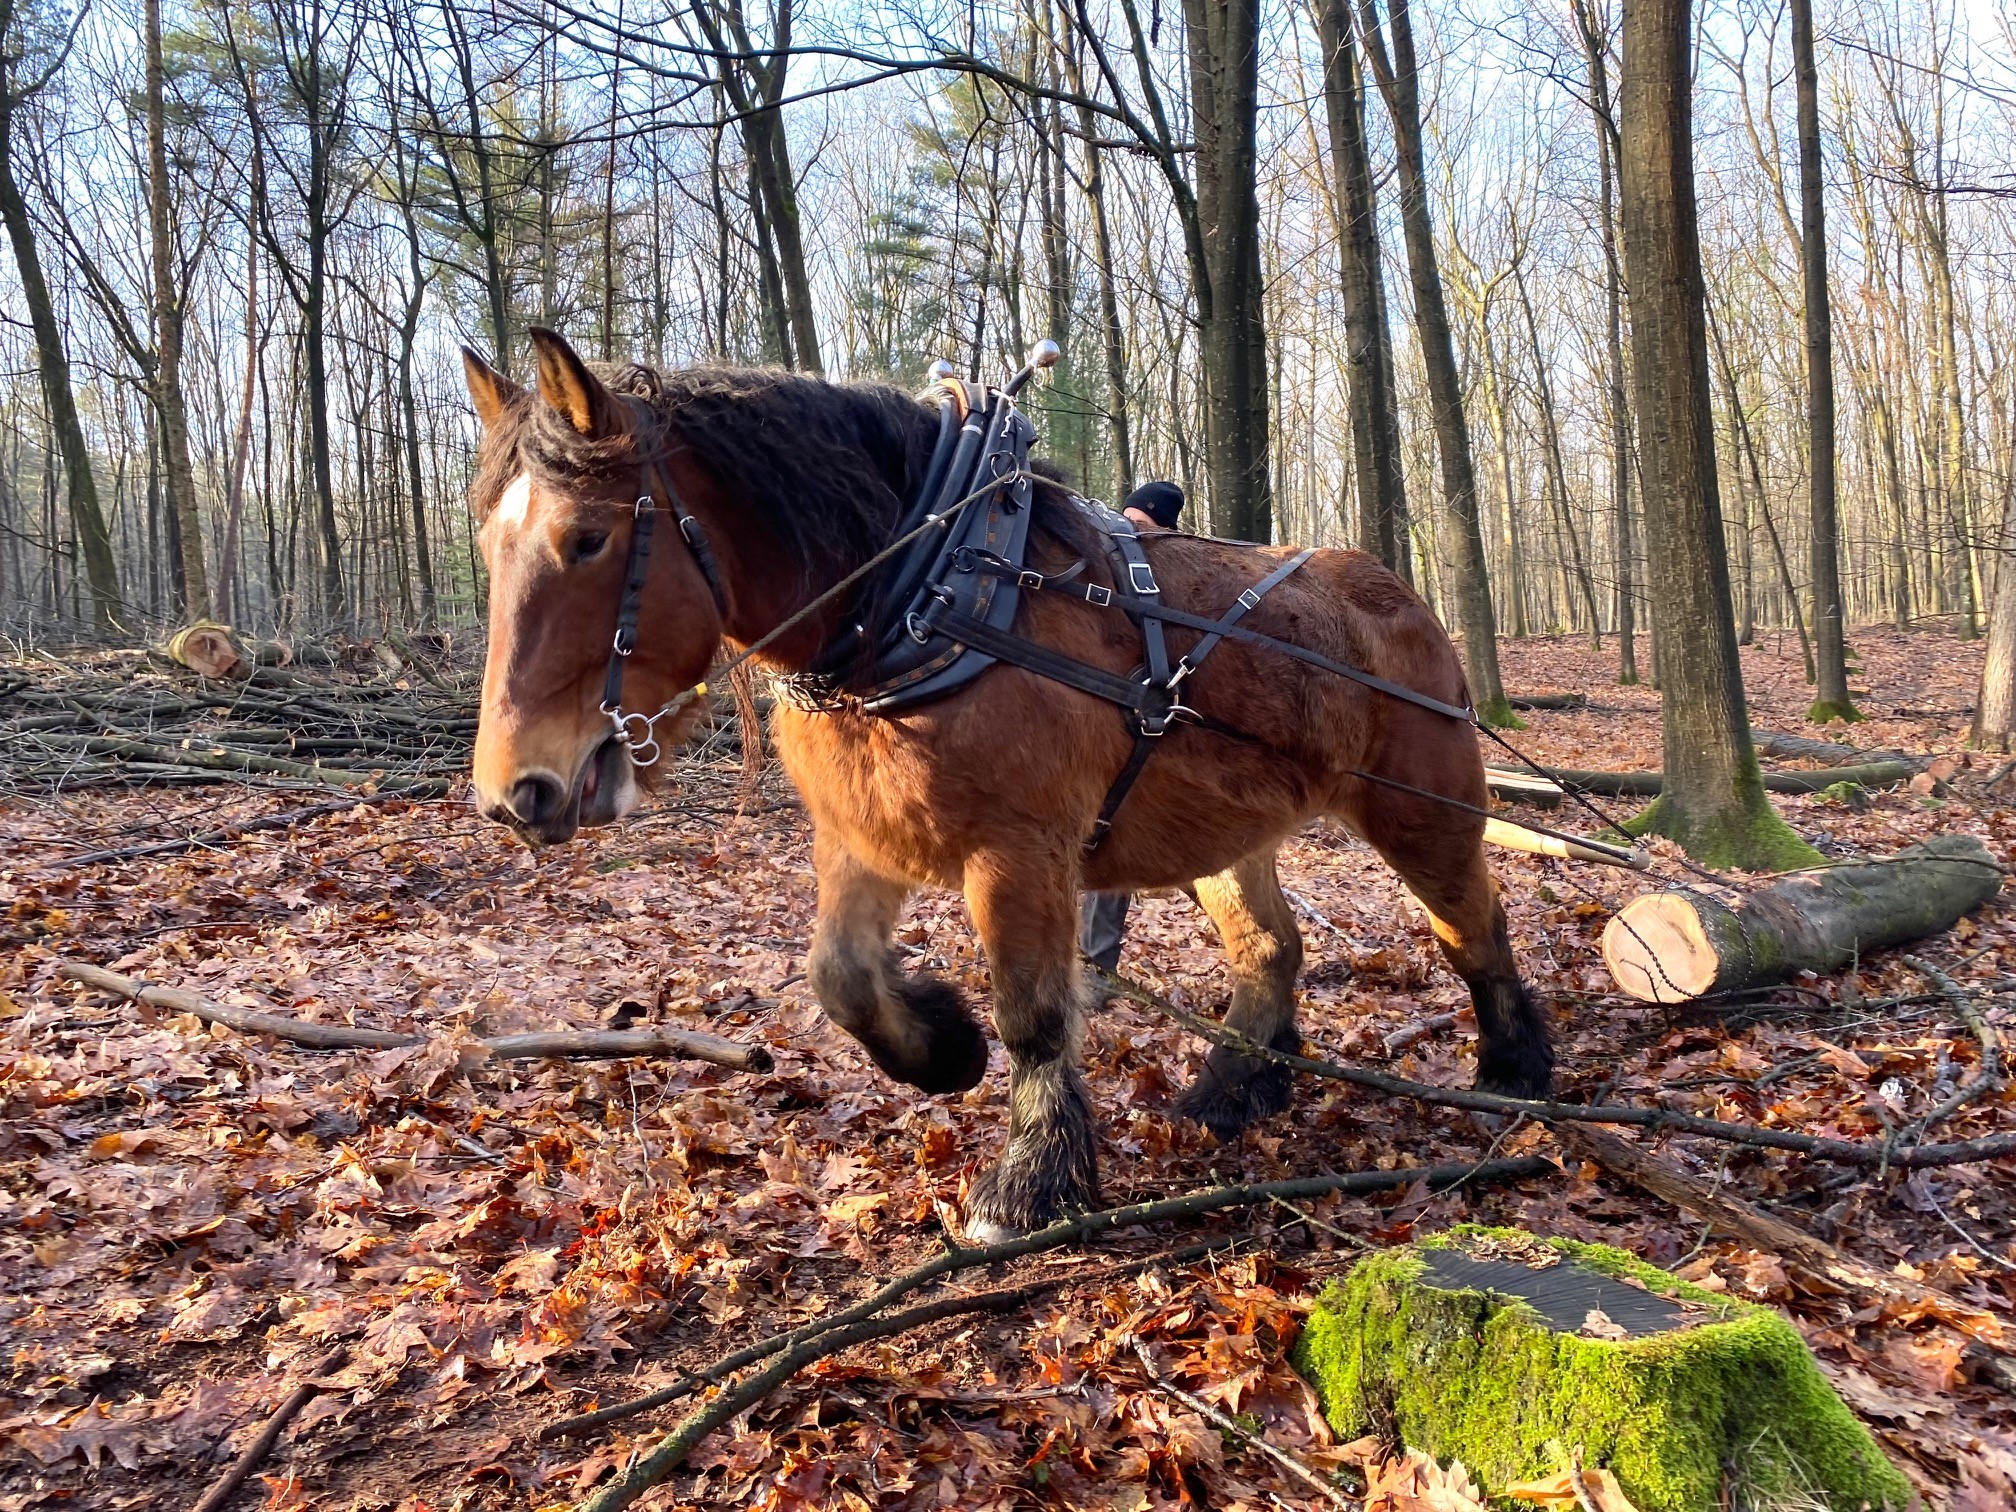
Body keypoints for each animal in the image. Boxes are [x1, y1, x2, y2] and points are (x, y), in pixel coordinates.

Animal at [463, 328, 1548, 1241]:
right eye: (485, 545)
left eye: (589, 538)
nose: (515, 793)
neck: (931, 597)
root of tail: (1401, 595)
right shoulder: (858, 837)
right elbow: (840, 978)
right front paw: (943, 1049)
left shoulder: (1020, 851)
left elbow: (1033, 1015)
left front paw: (1028, 1183)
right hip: (1225, 835)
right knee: (1270, 949)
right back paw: (1231, 1092)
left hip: (1424, 807)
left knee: (1472, 924)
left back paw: (1512, 1070)